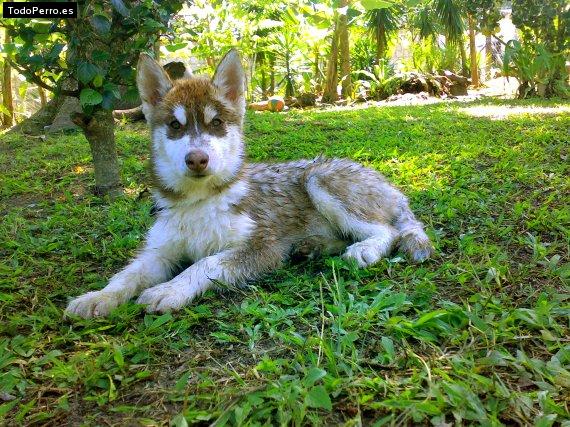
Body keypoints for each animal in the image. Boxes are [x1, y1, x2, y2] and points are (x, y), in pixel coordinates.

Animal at [65, 49, 430, 318]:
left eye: (216, 123)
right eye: (174, 125)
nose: (197, 159)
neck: (199, 203)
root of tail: (392, 188)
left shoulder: (263, 248)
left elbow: (205, 262)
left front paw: (170, 289)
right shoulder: (160, 251)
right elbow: (127, 274)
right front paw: (99, 296)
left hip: (319, 179)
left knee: (388, 230)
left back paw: (365, 249)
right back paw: (314, 246)